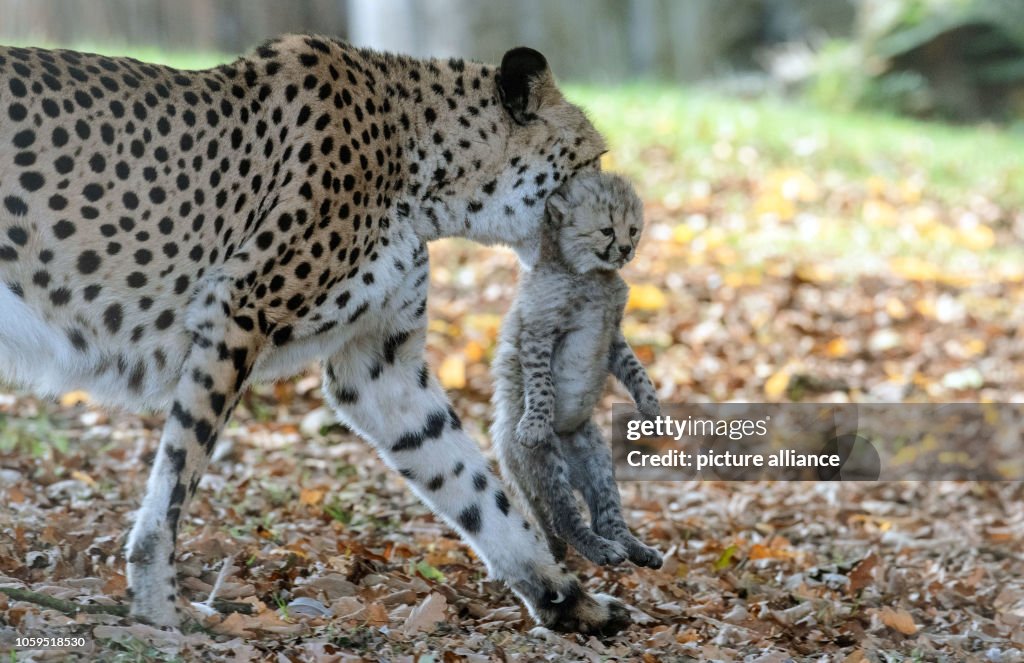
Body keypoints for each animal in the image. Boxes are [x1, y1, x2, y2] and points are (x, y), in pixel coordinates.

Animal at [0, 35, 632, 635]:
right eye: (593, 160)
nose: (625, 237)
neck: (425, 164)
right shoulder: (237, 314)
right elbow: (178, 476)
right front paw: (157, 610)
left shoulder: (379, 368)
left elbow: (469, 482)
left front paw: (566, 598)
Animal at [491, 172, 663, 571]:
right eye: (606, 230)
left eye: (633, 230)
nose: (626, 249)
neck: (591, 276)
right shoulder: (538, 332)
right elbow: (542, 384)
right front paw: (535, 423)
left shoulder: (612, 336)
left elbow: (636, 370)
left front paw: (651, 405)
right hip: (547, 463)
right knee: (565, 520)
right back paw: (600, 549)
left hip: (597, 459)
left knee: (607, 517)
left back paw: (635, 549)